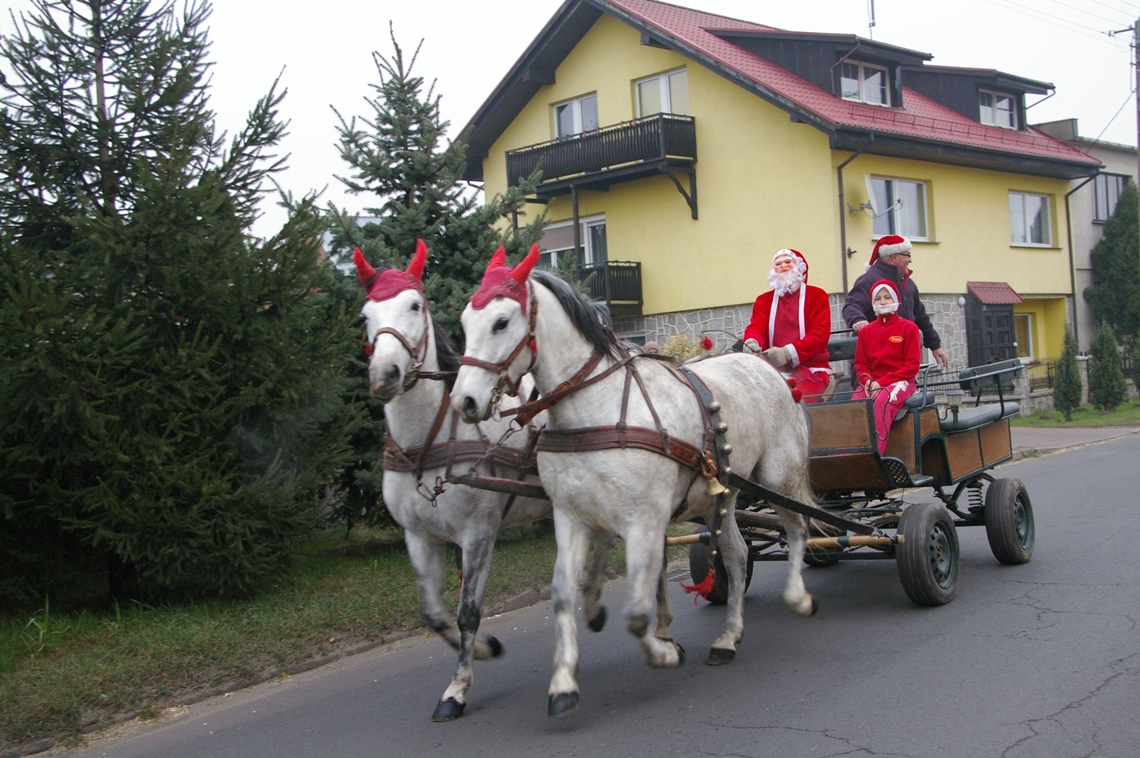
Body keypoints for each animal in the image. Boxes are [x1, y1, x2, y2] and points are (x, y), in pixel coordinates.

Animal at [353, 242, 615, 720]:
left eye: (414, 305)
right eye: (366, 314)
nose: (386, 375)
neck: (429, 439)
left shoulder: (477, 533)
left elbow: (468, 612)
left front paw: (456, 688)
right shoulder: (417, 536)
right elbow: (432, 612)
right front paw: (484, 650)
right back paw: (591, 603)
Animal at [446, 247, 820, 715]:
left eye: (501, 322)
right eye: (464, 322)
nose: (464, 401)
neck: (597, 406)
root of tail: (765, 365)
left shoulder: (643, 521)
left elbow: (638, 612)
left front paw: (663, 650)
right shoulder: (571, 518)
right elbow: (564, 593)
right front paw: (563, 681)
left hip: (778, 477)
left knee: (797, 526)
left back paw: (798, 596)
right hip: (722, 496)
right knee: (736, 555)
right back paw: (728, 636)